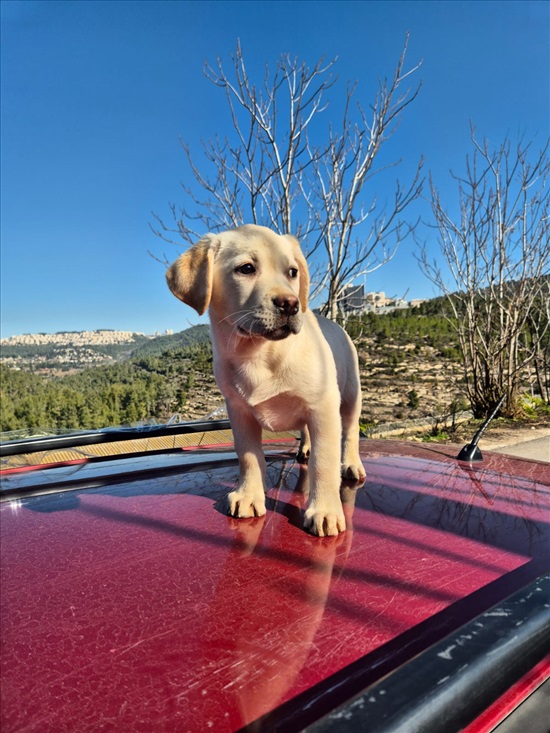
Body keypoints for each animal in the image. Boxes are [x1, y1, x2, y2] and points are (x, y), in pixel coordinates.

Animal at [168, 222, 366, 532]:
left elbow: (324, 462)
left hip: (349, 396)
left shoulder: (323, 408)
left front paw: (325, 509)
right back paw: (305, 447)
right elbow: (248, 456)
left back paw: (352, 464)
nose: (291, 304)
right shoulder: (238, 411)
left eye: (292, 272)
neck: (259, 353)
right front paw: (250, 495)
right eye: (246, 269)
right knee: (305, 431)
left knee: (351, 430)